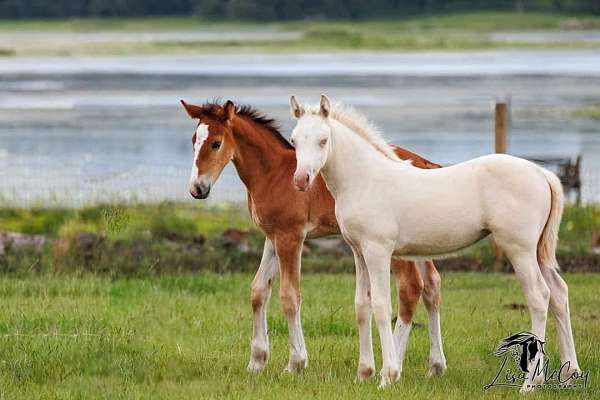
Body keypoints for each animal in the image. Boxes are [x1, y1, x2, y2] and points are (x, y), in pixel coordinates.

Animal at [178, 100, 446, 378]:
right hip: (421, 241)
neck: (272, 173)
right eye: (193, 141)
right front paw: (256, 362)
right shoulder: (272, 236)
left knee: (410, 287)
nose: (197, 189)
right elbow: (259, 290)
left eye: (216, 143)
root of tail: (426, 163)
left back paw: (397, 364)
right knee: (432, 286)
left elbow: (289, 296)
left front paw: (295, 363)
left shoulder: (291, 236)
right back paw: (435, 366)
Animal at [288, 94, 580, 390]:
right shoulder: (358, 252)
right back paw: (569, 373)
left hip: (519, 250)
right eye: (294, 140)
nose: (301, 180)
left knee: (539, 297)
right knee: (559, 294)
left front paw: (388, 375)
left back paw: (530, 383)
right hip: (538, 253)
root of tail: (542, 173)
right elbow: (362, 305)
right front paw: (364, 373)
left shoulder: (378, 250)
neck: (365, 179)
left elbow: (381, 306)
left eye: (323, 140)